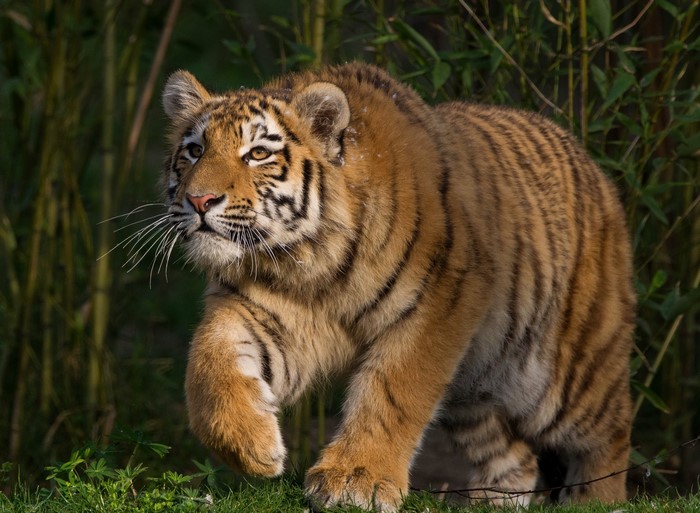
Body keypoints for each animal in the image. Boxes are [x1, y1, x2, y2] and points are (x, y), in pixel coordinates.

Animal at [160, 62, 635, 512]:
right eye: (195, 151)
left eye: (258, 153)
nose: (199, 201)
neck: (308, 262)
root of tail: (592, 164)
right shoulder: (264, 312)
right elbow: (209, 361)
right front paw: (253, 448)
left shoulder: (436, 302)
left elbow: (393, 391)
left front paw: (357, 481)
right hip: (473, 393)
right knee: (515, 459)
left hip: (563, 377)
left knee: (610, 434)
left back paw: (599, 501)